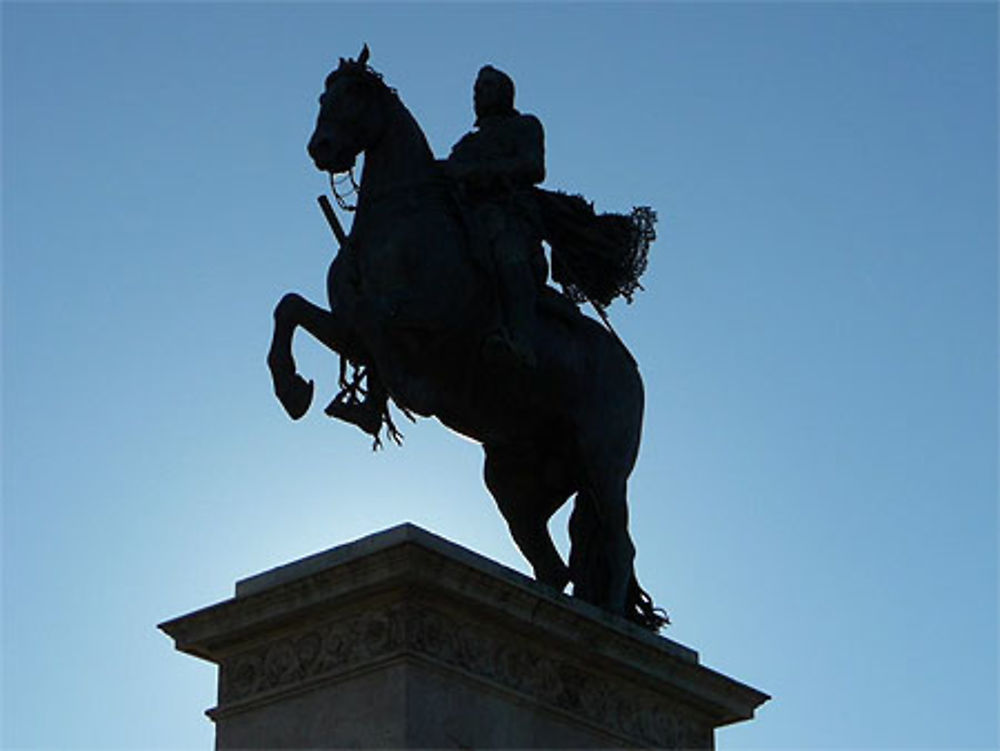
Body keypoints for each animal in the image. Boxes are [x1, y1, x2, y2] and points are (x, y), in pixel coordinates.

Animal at [270, 50, 668, 632]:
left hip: (603, 462)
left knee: (618, 541)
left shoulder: (435, 328)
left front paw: (387, 397)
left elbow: (380, 322)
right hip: (518, 481)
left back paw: (612, 620)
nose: (321, 148)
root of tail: (630, 369)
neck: (399, 219)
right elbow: (292, 308)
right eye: (325, 95)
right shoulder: (345, 325)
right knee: (555, 565)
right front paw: (297, 388)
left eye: (354, 93)